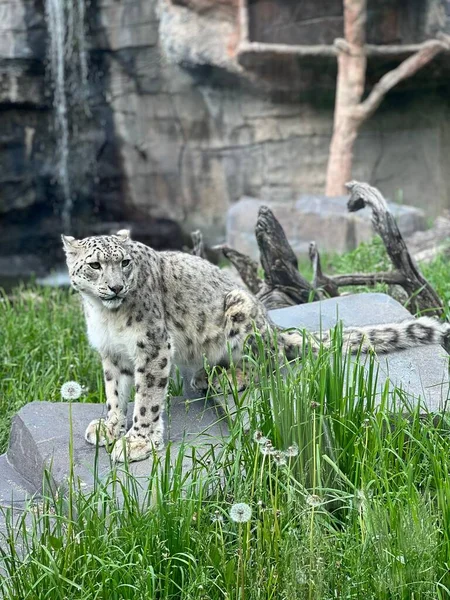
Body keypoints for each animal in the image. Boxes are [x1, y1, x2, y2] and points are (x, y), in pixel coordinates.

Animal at [61, 232, 448, 462]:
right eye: (95, 265)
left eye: (125, 262)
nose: (115, 287)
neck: (105, 317)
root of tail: (275, 326)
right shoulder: (112, 352)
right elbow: (114, 391)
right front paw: (109, 426)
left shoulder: (153, 346)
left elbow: (147, 397)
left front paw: (137, 441)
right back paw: (202, 377)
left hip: (241, 313)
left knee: (268, 362)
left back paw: (223, 377)